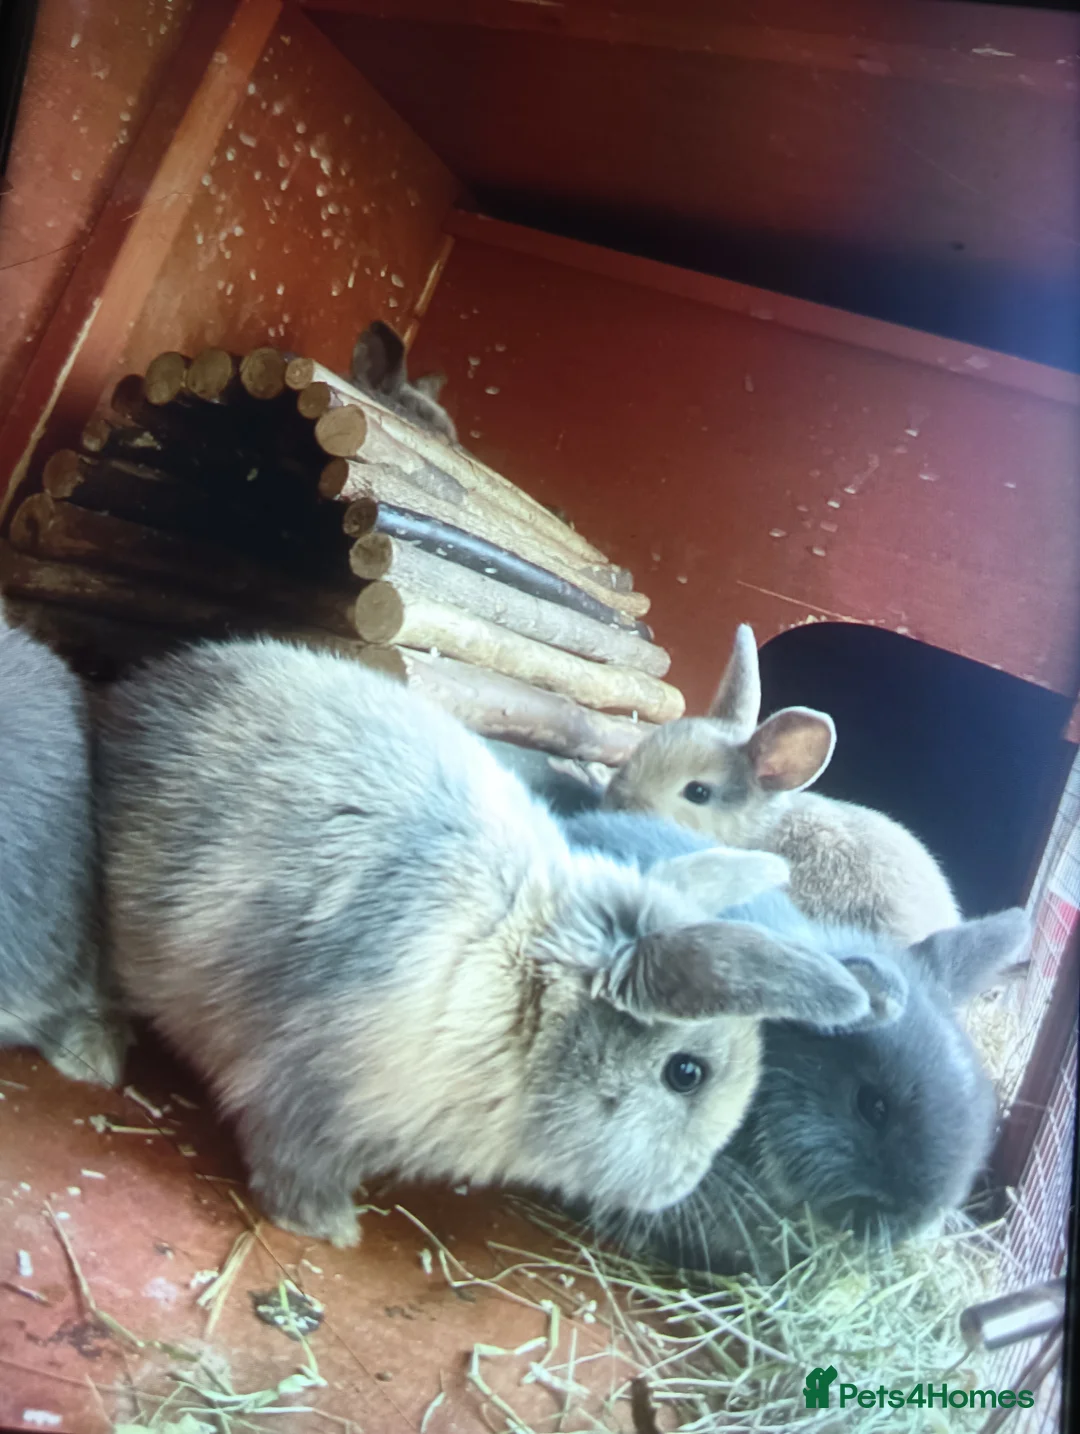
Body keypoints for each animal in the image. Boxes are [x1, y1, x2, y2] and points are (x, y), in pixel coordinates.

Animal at [94, 637, 887, 1249]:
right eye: (685, 1073)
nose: (679, 1185)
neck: (528, 999)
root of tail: (130, 699)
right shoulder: (310, 1101)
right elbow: (294, 1167)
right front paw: (330, 1230)